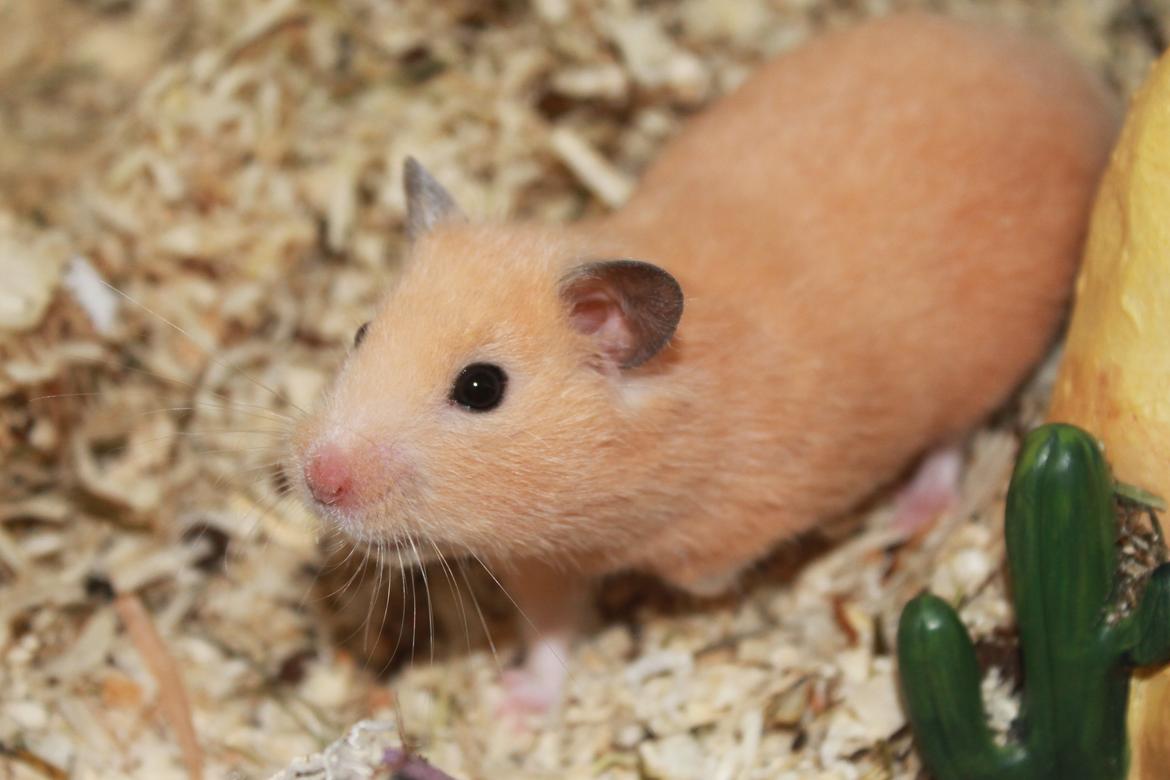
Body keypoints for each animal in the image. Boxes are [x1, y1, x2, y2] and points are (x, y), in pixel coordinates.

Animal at [290, 12, 1117, 712]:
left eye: (480, 387)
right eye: (361, 331)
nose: (319, 481)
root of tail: (1069, 76)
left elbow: (692, 583)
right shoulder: (546, 557)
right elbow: (551, 630)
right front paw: (511, 709)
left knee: (952, 437)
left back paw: (909, 512)